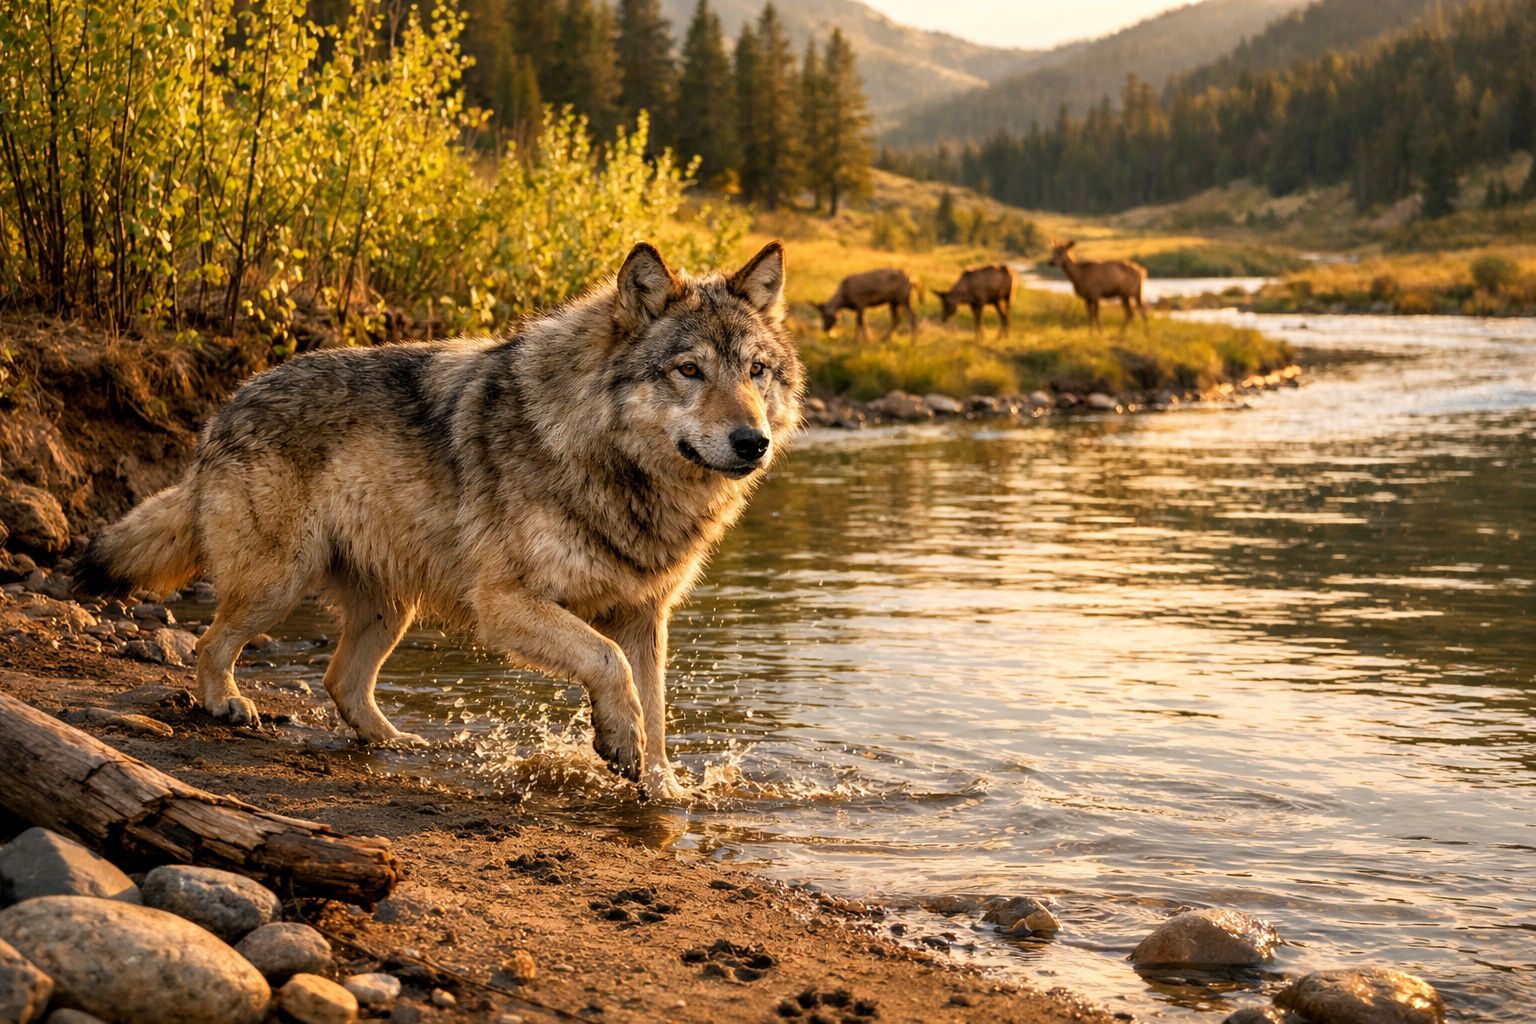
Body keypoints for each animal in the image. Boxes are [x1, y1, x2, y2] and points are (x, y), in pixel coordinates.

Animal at [74, 241, 804, 798]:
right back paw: (226, 703)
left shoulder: (644, 615)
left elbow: (656, 709)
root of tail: (222, 412)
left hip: (389, 610)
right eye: (690, 370)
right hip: (278, 585)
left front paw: (662, 787)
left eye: (756, 371)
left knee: (339, 680)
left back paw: (396, 742)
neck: (611, 464)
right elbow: (608, 664)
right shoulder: (506, 604)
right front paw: (618, 742)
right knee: (210, 643)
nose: (752, 442)